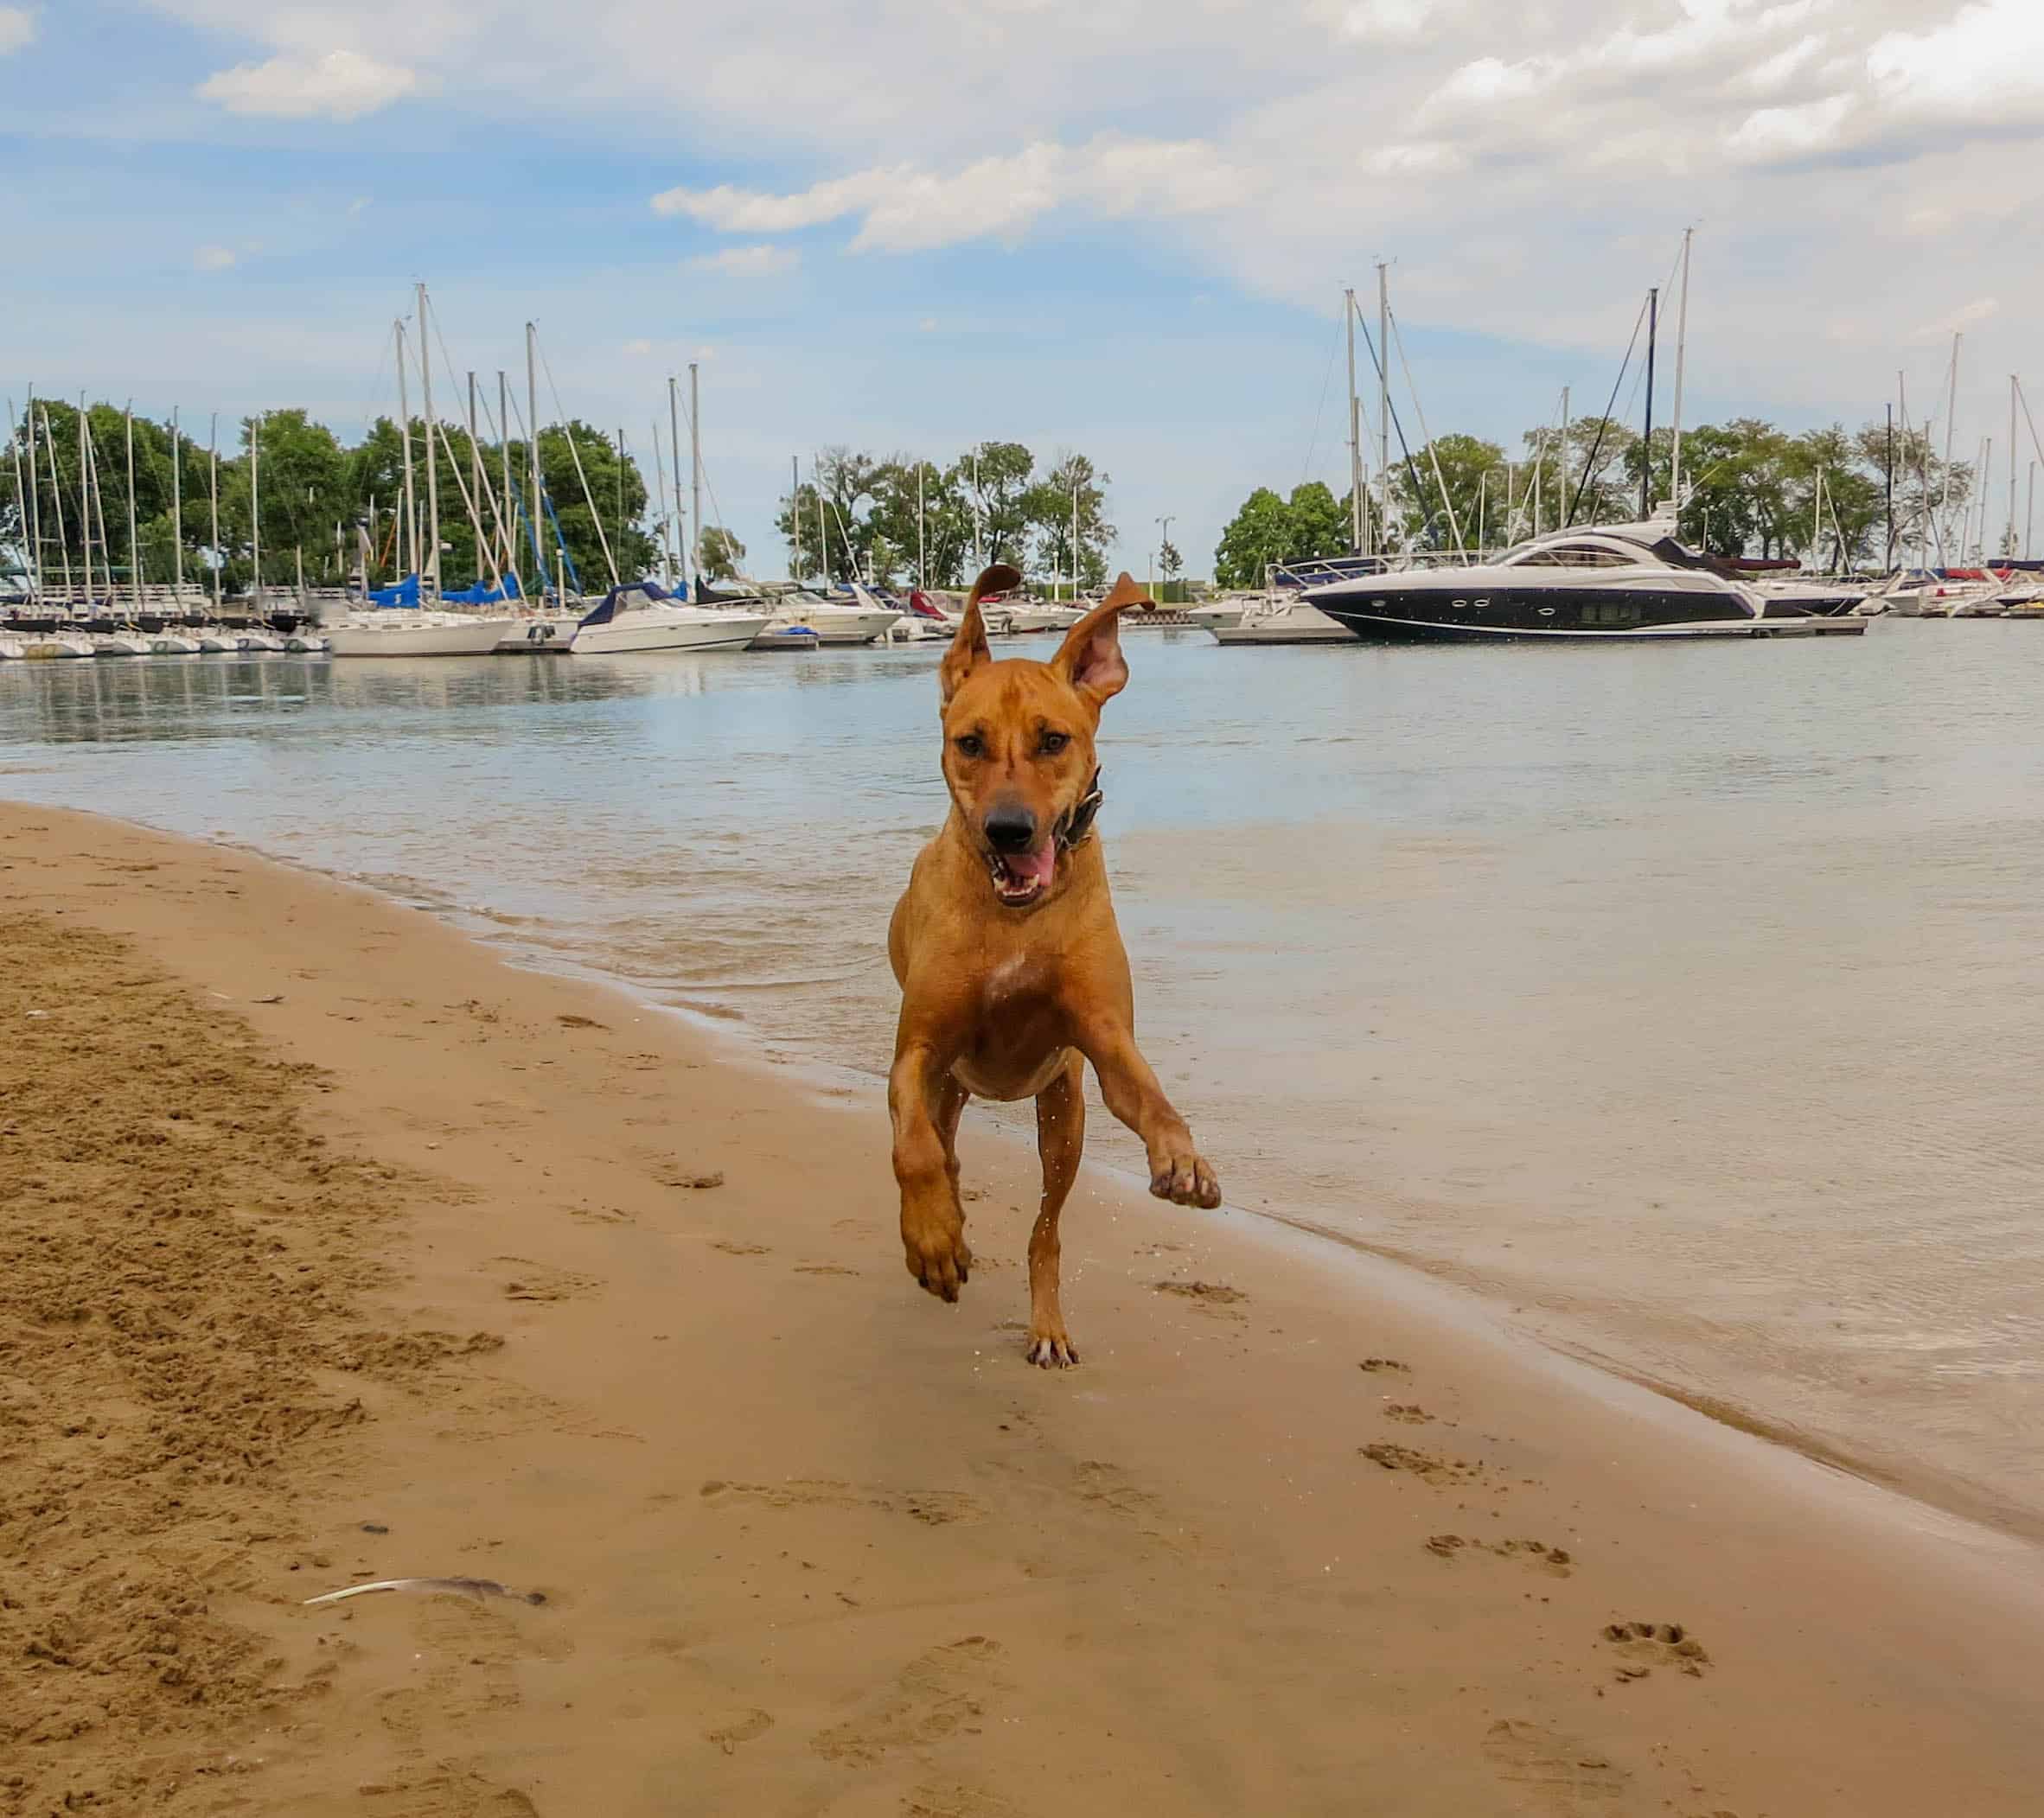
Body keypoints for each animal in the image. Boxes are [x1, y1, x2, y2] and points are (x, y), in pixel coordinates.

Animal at [886, 564, 1217, 1356]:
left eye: (1054, 740)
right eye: (969, 742)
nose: (1009, 829)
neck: (1016, 918)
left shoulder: (1102, 1034)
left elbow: (1147, 1093)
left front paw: (1180, 1154)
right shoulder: (917, 1050)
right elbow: (913, 1149)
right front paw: (933, 1236)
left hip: (1063, 1114)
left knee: (1046, 1227)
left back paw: (1046, 1324)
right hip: (953, 1089)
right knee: (943, 1148)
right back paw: (946, 1227)